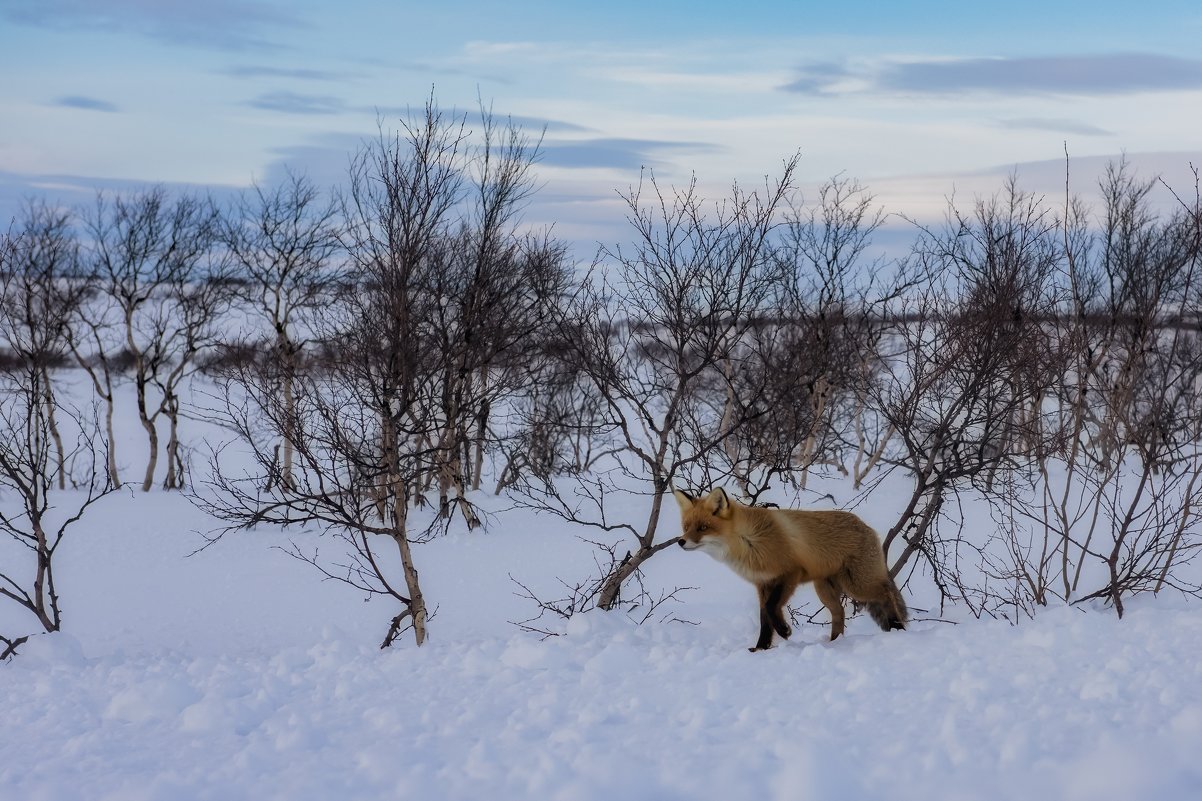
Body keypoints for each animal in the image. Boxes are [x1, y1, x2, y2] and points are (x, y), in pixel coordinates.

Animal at [677, 485, 903, 649]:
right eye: (686, 527)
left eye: (703, 527)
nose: (681, 541)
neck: (749, 540)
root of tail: (867, 526)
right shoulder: (763, 584)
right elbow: (764, 618)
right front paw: (761, 648)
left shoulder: (790, 573)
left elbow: (771, 608)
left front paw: (784, 631)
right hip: (825, 590)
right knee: (839, 613)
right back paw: (834, 643)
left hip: (858, 585)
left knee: (886, 594)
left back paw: (897, 628)